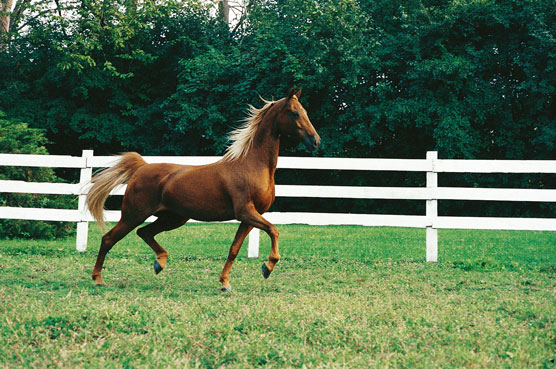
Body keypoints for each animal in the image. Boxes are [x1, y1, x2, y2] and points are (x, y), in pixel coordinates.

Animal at [87, 88, 322, 290]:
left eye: (305, 112)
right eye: (294, 113)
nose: (315, 141)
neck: (252, 164)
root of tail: (142, 167)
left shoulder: (250, 217)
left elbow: (234, 249)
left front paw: (225, 283)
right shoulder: (246, 212)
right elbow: (274, 230)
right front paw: (267, 267)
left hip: (173, 218)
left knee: (144, 232)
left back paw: (159, 263)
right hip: (134, 214)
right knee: (109, 238)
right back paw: (98, 279)